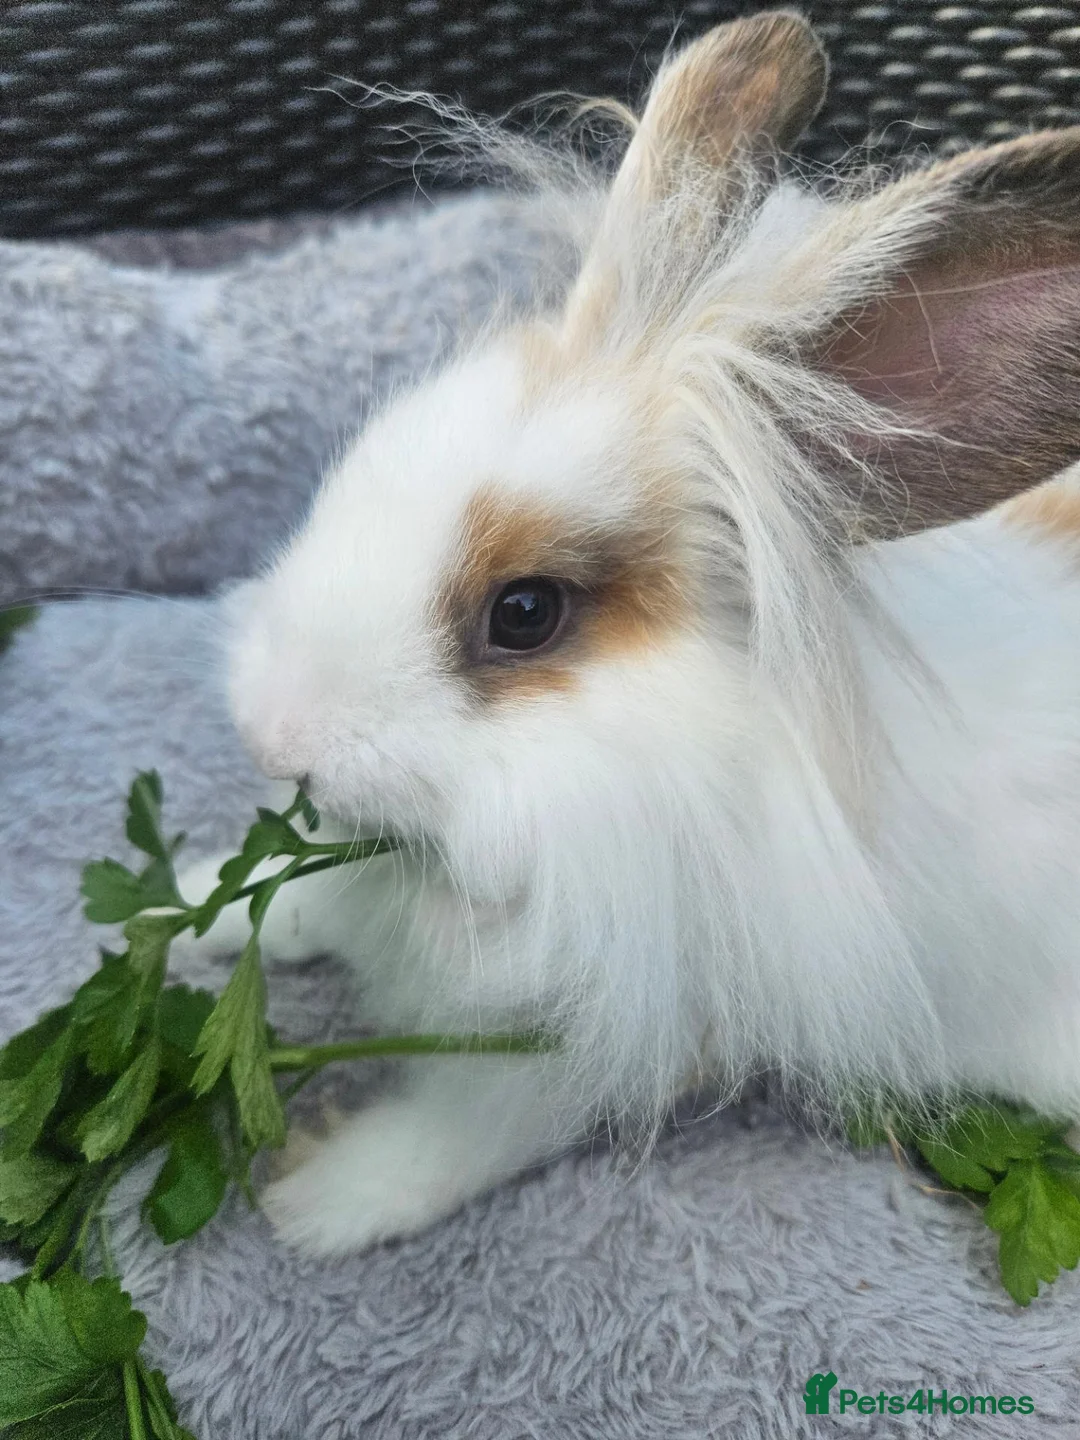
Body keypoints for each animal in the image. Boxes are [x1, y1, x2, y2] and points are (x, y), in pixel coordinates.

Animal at [179, 9, 1080, 1256]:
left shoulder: (618, 1027)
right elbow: (299, 894)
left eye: (524, 613)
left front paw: (320, 1200)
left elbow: (468, 1127)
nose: (274, 733)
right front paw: (185, 908)